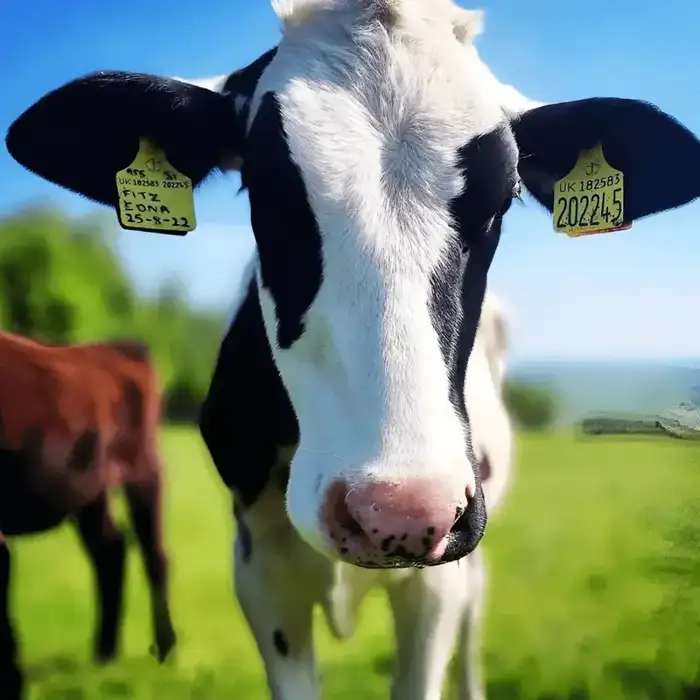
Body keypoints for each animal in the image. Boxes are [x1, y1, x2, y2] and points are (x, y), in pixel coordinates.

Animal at [0, 334, 176, 700]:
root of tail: (119, 347)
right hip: (91, 491)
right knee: (110, 550)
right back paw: (104, 655)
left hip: (143, 470)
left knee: (154, 556)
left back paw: (165, 651)